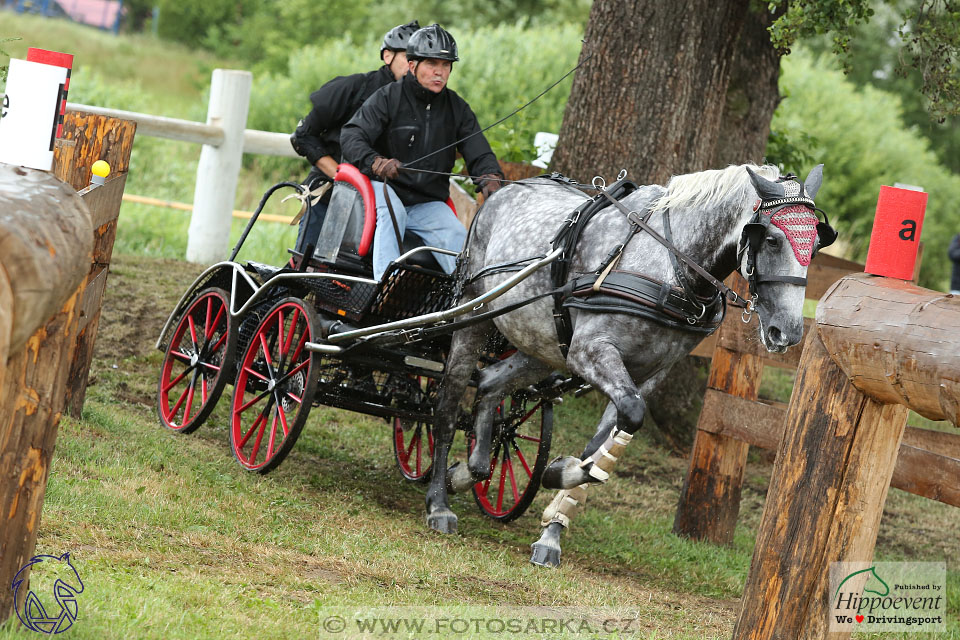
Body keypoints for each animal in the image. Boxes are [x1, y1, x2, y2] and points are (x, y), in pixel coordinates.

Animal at [428, 164, 832, 564]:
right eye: (772, 240)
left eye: (815, 245)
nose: (788, 331)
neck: (670, 264)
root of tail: (505, 190)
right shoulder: (590, 351)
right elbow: (630, 419)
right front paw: (561, 473)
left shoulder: (647, 374)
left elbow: (601, 448)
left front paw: (554, 525)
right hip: (473, 316)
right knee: (447, 406)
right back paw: (438, 502)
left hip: (540, 344)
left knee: (490, 383)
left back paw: (471, 471)